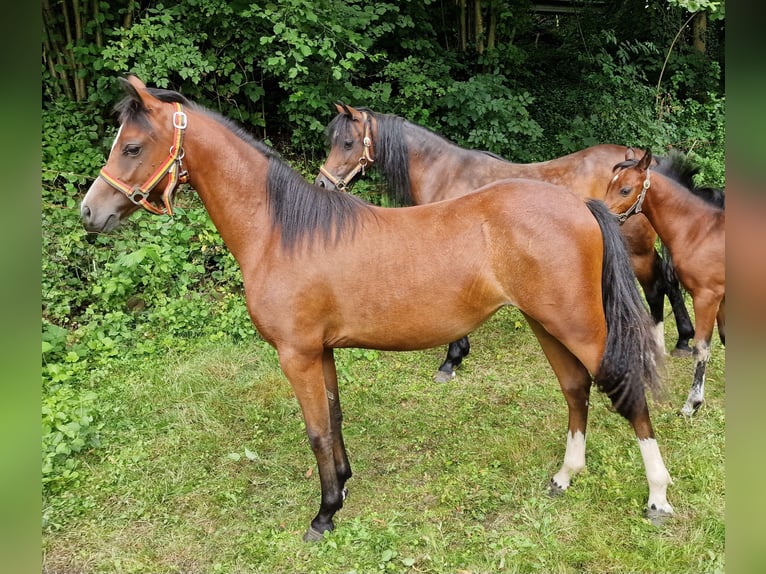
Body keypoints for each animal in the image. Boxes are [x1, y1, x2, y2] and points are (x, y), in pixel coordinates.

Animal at [316, 103, 700, 382]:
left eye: (347, 142)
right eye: (332, 141)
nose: (323, 184)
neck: (446, 173)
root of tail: (648, 164)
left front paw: (451, 360)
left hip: (637, 251)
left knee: (657, 286)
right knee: (669, 281)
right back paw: (684, 339)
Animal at [608, 151, 728, 416]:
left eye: (625, 189)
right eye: (609, 184)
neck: (699, 231)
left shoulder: (706, 297)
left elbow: (701, 349)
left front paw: (692, 404)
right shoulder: (723, 299)